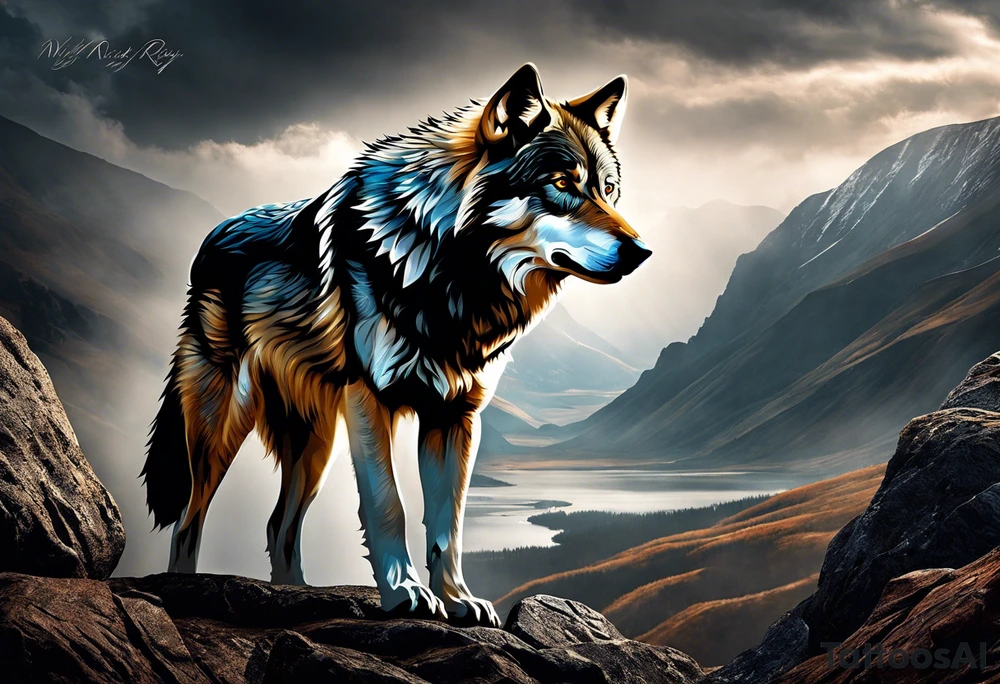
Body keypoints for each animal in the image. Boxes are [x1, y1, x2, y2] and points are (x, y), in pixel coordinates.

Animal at [142, 64, 651, 626]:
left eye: (609, 190)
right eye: (562, 184)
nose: (642, 251)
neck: (450, 278)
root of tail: (211, 236)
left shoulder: (457, 414)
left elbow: (448, 522)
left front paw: (457, 599)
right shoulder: (371, 400)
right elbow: (390, 506)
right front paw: (404, 592)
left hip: (316, 443)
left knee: (280, 525)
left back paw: (294, 592)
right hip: (223, 426)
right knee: (189, 518)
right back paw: (185, 588)